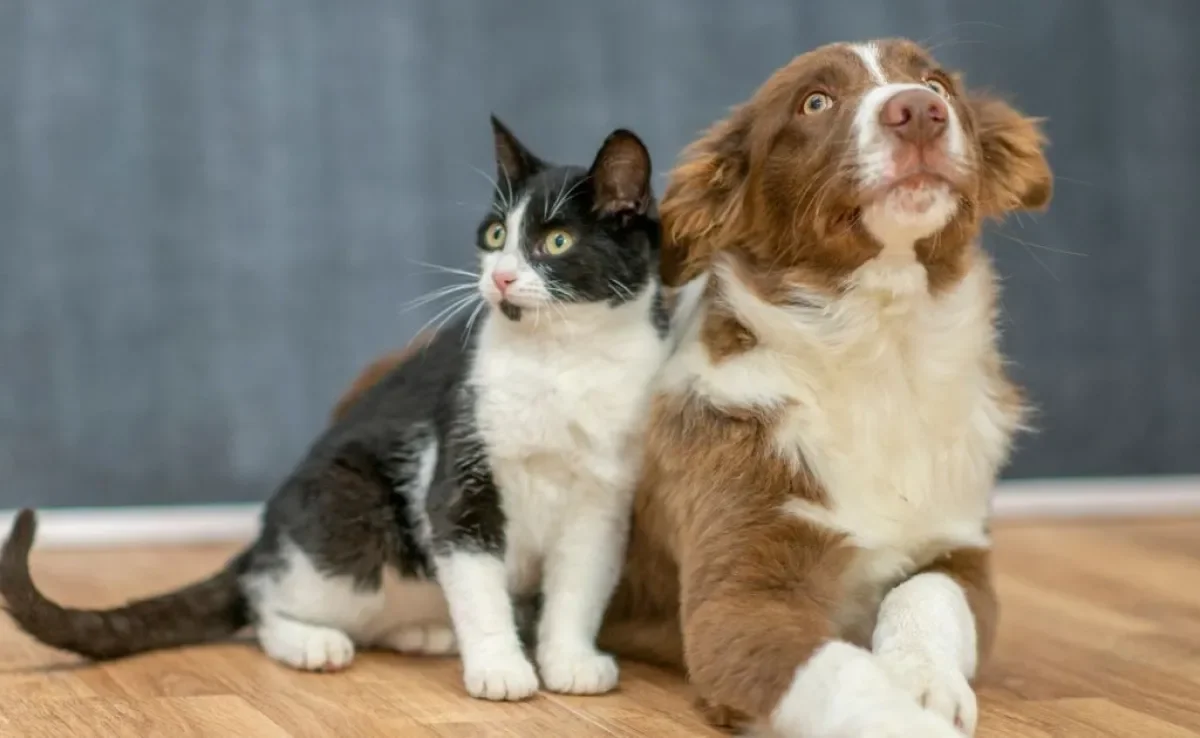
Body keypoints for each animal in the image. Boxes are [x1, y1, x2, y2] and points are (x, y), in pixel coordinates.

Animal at [0, 117, 676, 705]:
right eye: (494, 237)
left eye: (556, 241)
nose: (502, 278)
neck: (563, 360)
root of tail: (264, 535)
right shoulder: (459, 471)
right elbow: (478, 582)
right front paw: (501, 670)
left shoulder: (602, 499)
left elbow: (579, 586)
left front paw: (570, 661)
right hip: (349, 513)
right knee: (264, 597)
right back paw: (312, 643)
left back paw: (424, 631)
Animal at [331, 39, 1051, 738]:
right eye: (815, 101)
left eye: (936, 84)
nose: (919, 112)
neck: (876, 350)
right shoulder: (736, 602)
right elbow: (840, 675)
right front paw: (906, 712)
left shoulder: (960, 552)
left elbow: (925, 595)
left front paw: (924, 680)